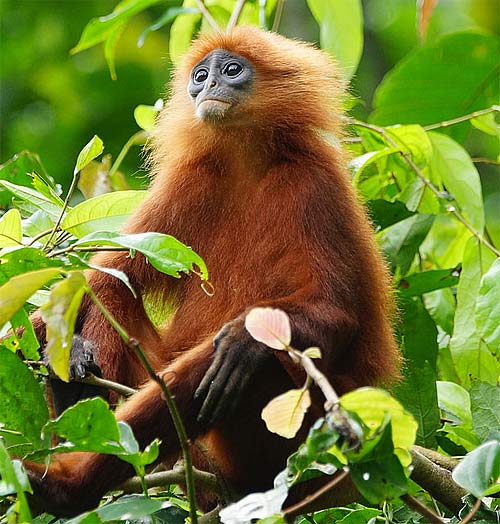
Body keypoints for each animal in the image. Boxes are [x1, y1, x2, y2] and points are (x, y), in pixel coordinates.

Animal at [23, 26, 400, 516]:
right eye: (201, 75)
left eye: (232, 70)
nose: (206, 86)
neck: (248, 162)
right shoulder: (190, 180)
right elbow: (101, 277)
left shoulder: (314, 182)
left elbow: (336, 315)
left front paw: (244, 340)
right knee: (113, 291)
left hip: (297, 437)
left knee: (235, 365)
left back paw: (66, 487)